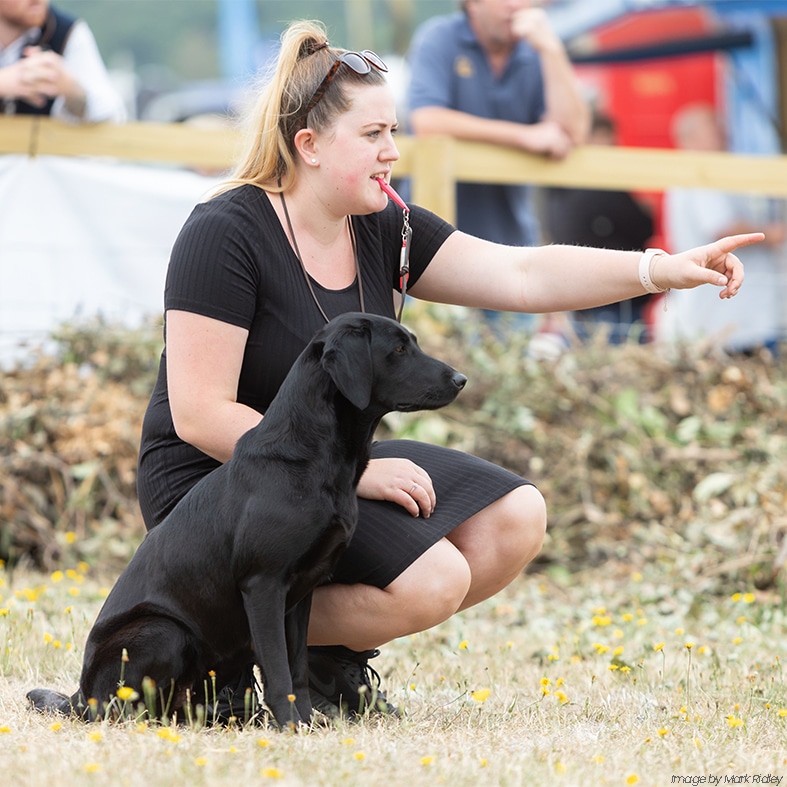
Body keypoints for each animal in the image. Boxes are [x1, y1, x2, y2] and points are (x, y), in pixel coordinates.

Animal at [26, 312, 468, 728]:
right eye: (398, 350)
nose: (461, 379)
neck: (312, 458)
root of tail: (78, 696)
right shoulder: (263, 584)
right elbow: (277, 668)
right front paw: (290, 726)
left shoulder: (301, 594)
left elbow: (297, 668)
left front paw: (306, 723)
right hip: (164, 630)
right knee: (121, 708)